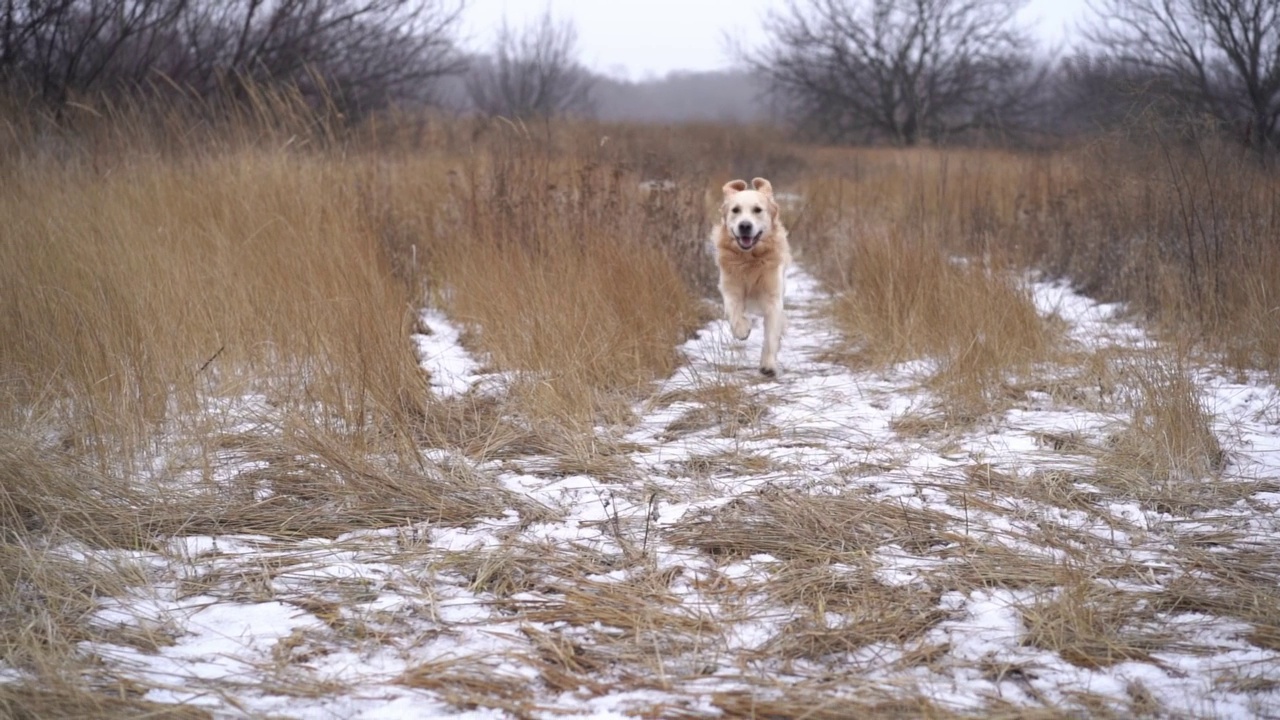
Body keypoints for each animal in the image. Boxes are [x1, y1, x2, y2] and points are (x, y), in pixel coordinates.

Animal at [711, 178, 788, 376]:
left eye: (757, 210)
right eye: (735, 210)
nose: (745, 226)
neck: (750, 260)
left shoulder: (773, 297)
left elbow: (771, 336)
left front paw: (768, 365)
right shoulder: (730, 286)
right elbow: (733, 310)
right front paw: (742, 329)